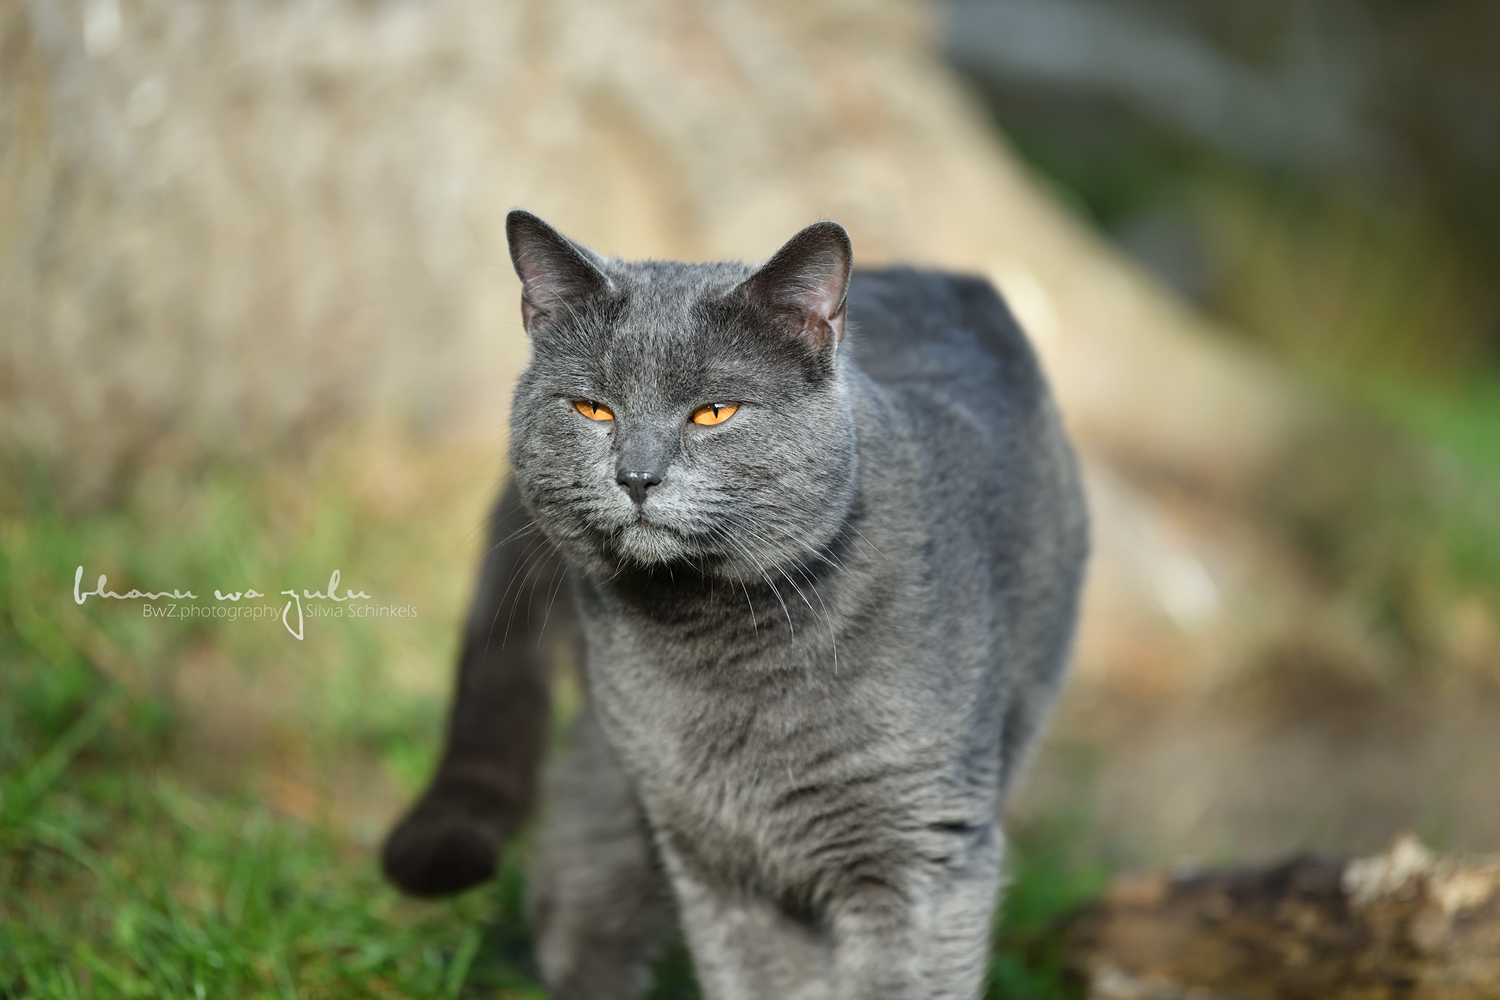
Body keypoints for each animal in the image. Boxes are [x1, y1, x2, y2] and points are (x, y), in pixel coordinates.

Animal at [384, 211, 1092, 1000]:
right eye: (593, 408)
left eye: (713, 413)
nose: (637, 475)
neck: (724, 648)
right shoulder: (716, 864)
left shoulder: (920, 860)